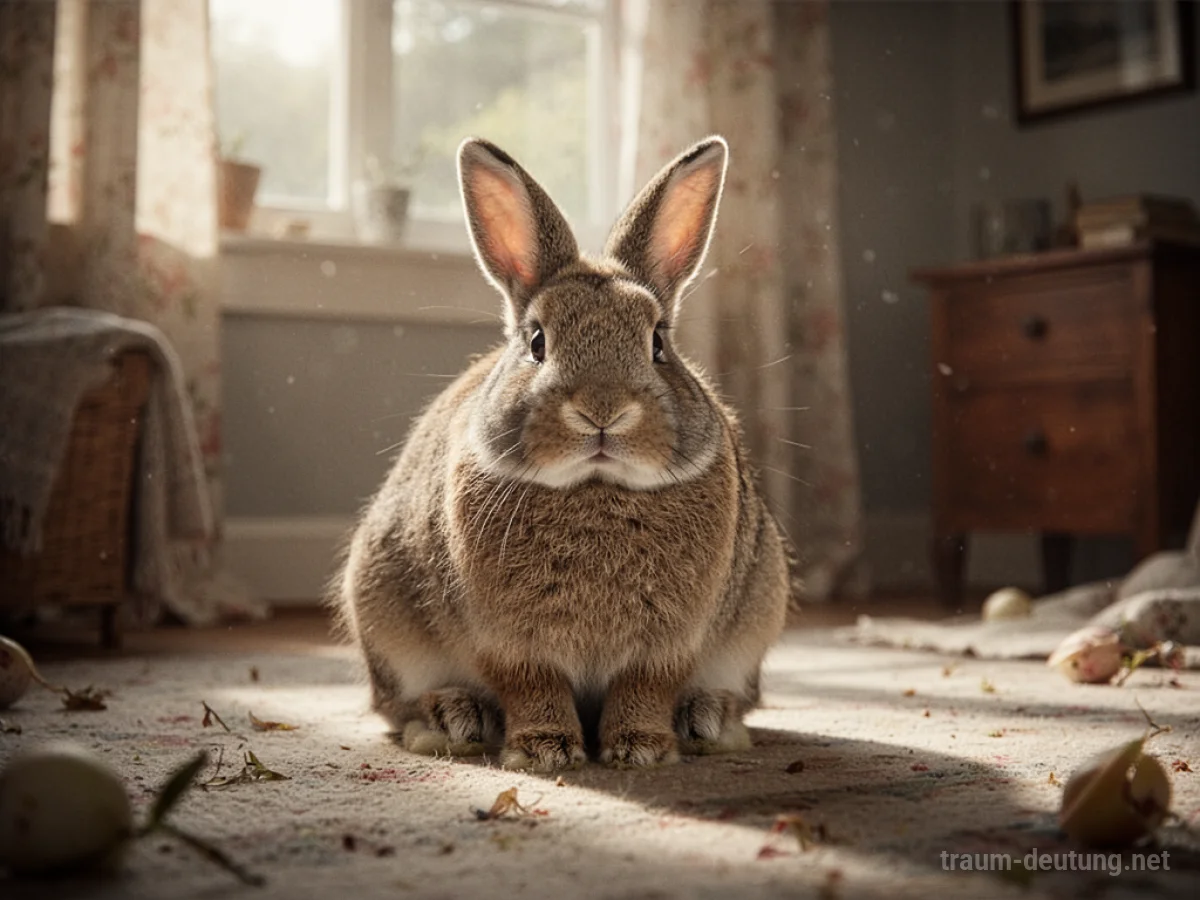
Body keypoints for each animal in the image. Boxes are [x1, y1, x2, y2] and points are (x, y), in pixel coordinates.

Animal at [333, 135, 791, 771]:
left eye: (658, 344)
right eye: (536, 342)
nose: (602, 410)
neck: (594, 485)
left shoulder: (667, 646)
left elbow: (645, 687)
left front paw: (639, 748)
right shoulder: (510, 644)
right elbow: (533, 685)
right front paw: (544, 751)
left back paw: (705, 718)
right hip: (383, 611)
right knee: (396, 706)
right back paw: (456, 716)